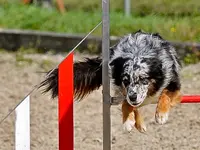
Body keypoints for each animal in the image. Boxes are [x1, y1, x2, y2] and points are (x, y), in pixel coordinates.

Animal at [39, 30, 182, 132]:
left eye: (143, 79)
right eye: (125, 81)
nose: (133, 97)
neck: (137, 51)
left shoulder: (174, 82)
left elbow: (165, 95)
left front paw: (161, 115)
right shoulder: (124, 91)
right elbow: (126, 104)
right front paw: (127, 121)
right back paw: (139, 124)